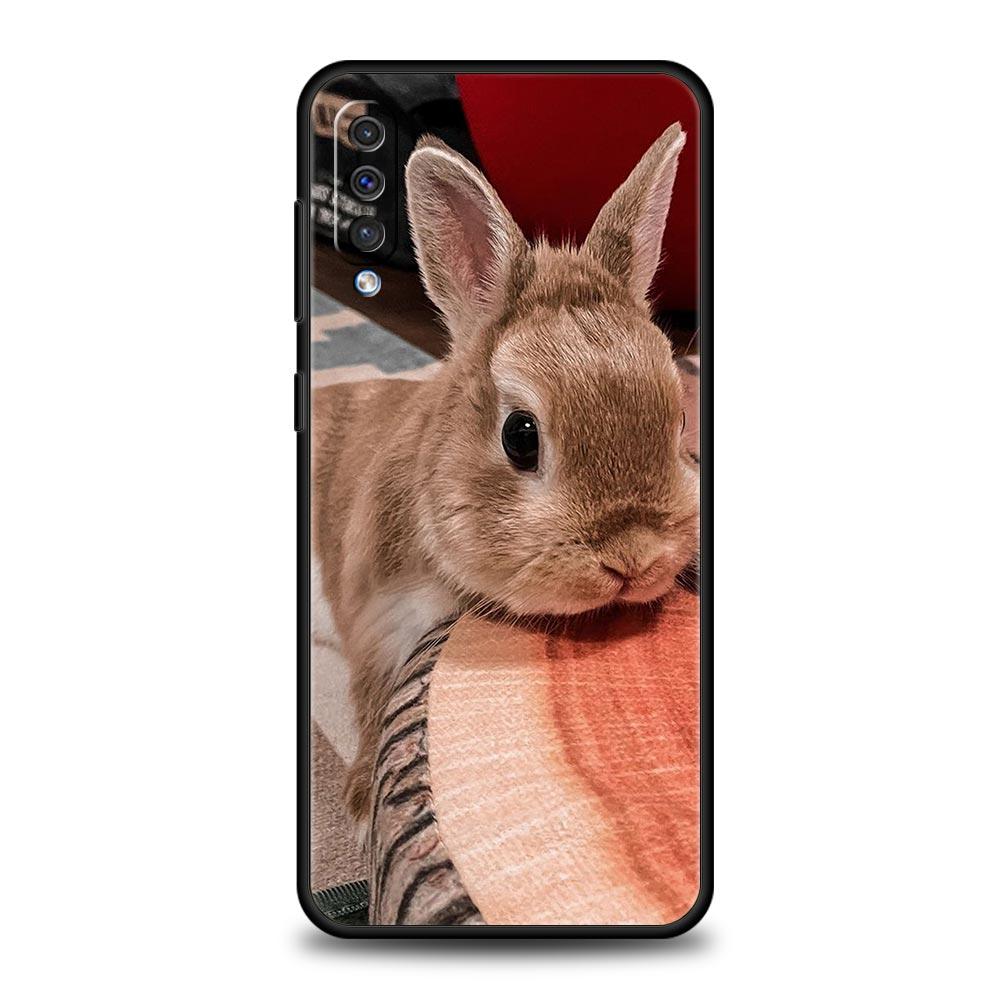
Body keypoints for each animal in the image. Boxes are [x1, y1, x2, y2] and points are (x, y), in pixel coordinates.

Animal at [312, 123, 699, 833]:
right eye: (521, 436)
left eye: (681, 417)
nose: (633, 560)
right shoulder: (381, 618)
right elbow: (370, 694)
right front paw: (358, 809)